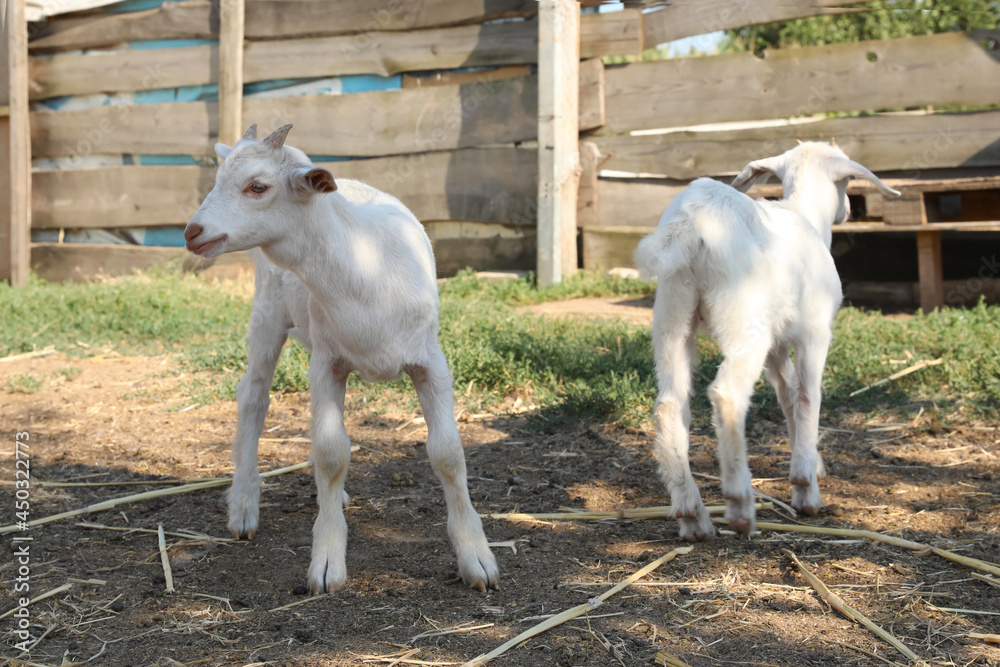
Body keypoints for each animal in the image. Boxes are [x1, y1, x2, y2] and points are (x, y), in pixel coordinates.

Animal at [184, 124, 499, 594]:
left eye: (258, 186)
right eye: (218, 179)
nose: (192, 231)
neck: (365, 268)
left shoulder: (430, 360)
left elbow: (448, 453)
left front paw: (477, 558)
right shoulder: (326, 365)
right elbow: (333, 453)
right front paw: (328, 561)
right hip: (268, 311)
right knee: (253, 397)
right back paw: (243, 505)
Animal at [634, 140, 899, 541]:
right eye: (847, 180)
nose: (851, 210)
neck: (804, 214)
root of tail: (691, 224)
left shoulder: (777, 344)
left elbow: (788, 395)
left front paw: (812, 464)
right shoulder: (814, 332)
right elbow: (807, 397)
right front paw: (806, 488)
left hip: (672, 312)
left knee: (669, 405)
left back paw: (692, 515)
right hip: (745, 320)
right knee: (726, 393)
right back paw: (740, 504)